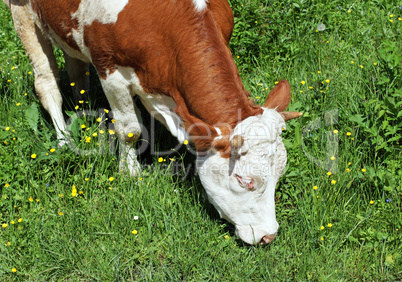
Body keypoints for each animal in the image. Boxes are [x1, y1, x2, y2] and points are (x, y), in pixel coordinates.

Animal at [3, 0, 302, 245]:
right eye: (244, 180)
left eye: (279, 174)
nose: (268, 236)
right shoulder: (110, 68)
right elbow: (130, 130)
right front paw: (130, 173)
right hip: (23, 11)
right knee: (46, 82)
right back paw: (64, 141)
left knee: (76, 70)